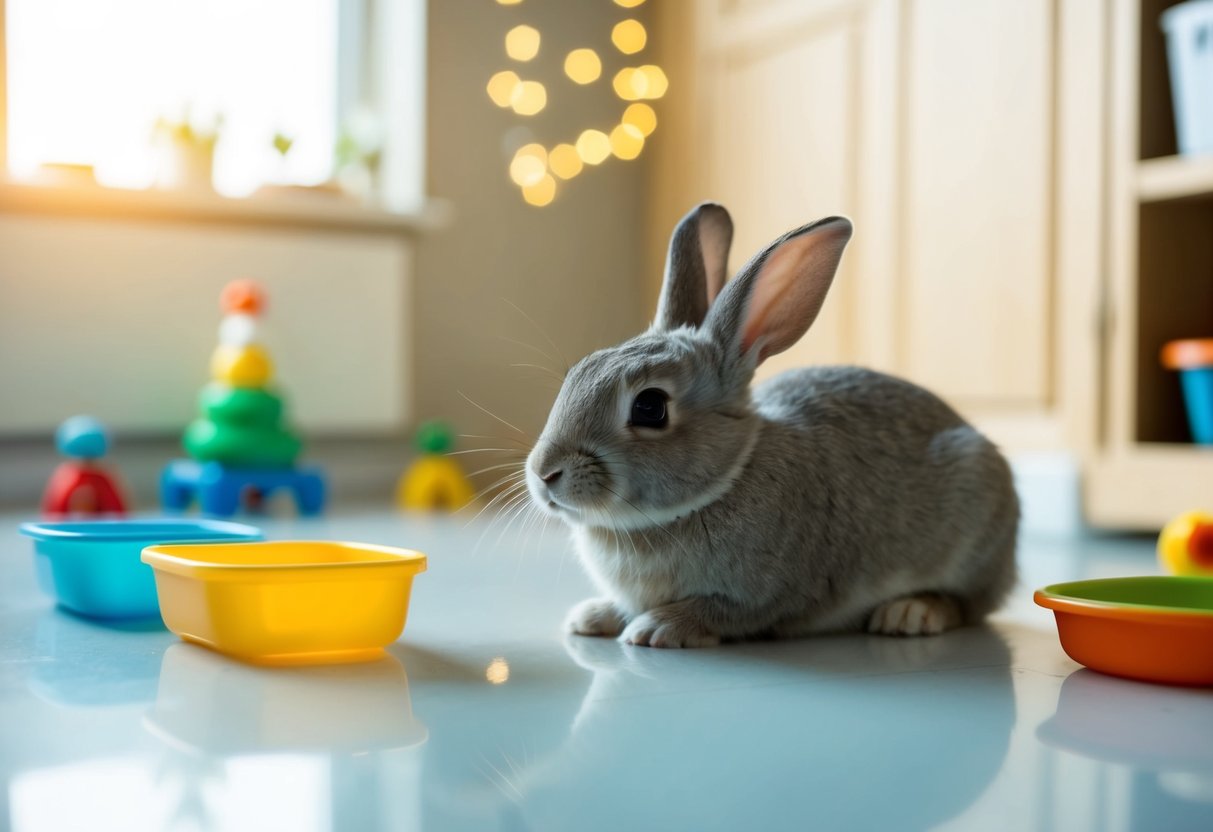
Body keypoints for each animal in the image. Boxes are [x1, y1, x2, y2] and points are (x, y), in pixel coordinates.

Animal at [526, 203, 1018, 650]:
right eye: (577, 374)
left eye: (650, 408)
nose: (544, 473)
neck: (723, 481)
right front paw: (592, 617)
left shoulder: (770, 595)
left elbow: (720, 611)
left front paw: (658, 628)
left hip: (975, 518)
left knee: (968, 603)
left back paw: (910, 613)